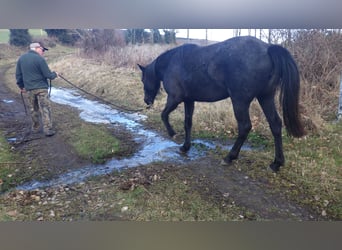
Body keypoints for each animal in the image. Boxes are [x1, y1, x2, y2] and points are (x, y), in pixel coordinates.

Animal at [138, 35, 304, 172]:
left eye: (143, 79)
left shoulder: (174, 98)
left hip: (240, 101)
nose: (147, 100)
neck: (171, 63)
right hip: (265, 97)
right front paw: (185, 147)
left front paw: (172, 133)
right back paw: (276, 163)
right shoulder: (189, 100)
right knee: (275, 124)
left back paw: (230, 157)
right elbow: (187, 123)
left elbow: (164, 115)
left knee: (245, 127)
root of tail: (268, 48)